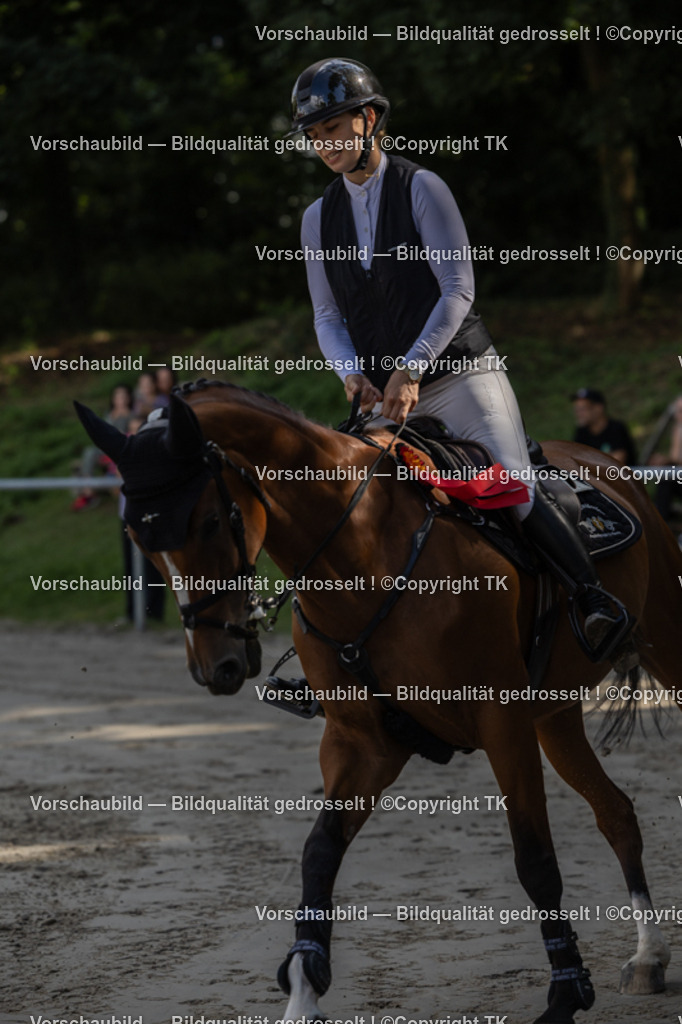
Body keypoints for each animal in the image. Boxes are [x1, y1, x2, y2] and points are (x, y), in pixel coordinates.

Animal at [75, 382, 682, 1024]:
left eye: (212, 520)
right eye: (138, 539)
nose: (216, 666)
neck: (362, 551)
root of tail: (605, 464)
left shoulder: (501, 721)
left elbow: (535, 860)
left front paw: (566, 993)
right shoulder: (361, 743)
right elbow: (319, 854)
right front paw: (303, 988)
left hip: (662, 643)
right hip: (555, 716)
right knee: (616, 813)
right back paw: (649, 957)